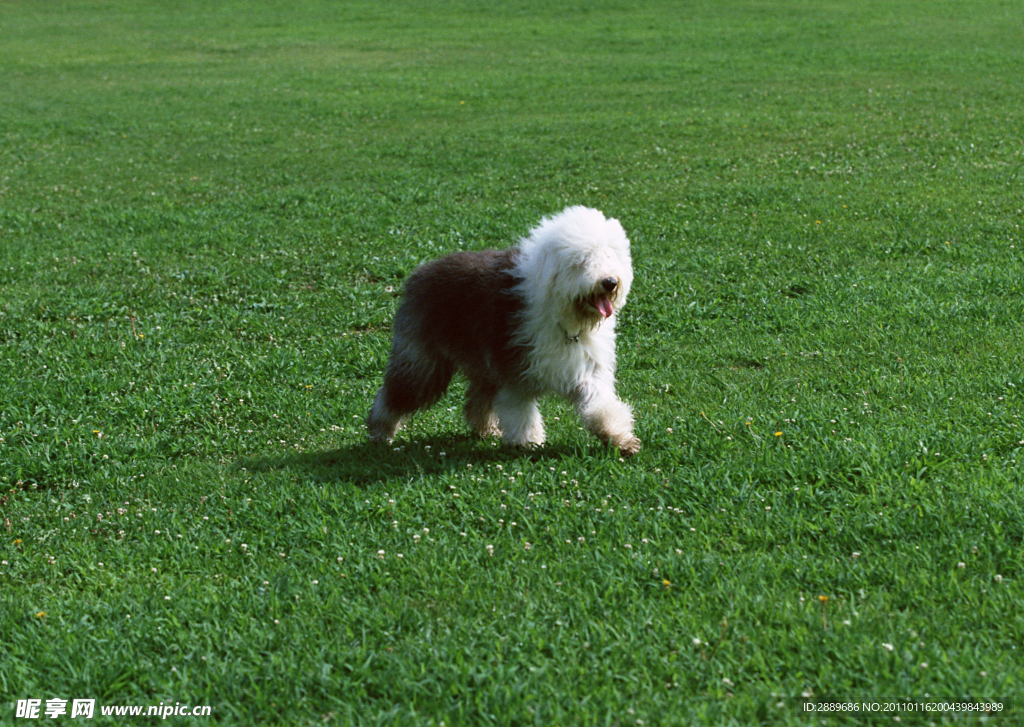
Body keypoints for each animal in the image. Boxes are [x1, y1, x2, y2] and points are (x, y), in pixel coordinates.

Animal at [366, 204, 638, 454]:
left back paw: (486, 429)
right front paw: (528, 443)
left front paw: (621, 438)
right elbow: (520, 411)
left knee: (477, 400)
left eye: (610, 256)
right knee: (395, 394)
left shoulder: (586, 367)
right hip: (423, 362)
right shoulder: (515, 367)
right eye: (582, 260)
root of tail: (419, 272)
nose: (609, 282)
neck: (563, 314)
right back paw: (380, 431)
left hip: (481, 363)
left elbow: (600, 405)